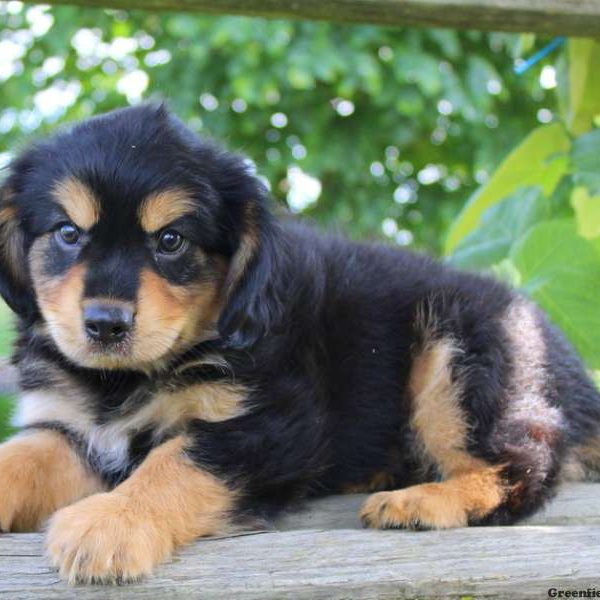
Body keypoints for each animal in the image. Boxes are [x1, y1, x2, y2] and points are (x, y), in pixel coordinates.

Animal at [1, 105, 600, 584]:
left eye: (171, 240)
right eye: (68, 233)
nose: (105, 324)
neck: (122, 381)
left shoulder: (273, 424)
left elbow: (177, 461)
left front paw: (111, 523)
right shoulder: (70, 429)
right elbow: (20, 458)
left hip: (463, 351)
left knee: (523, 469)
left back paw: (422, 500)